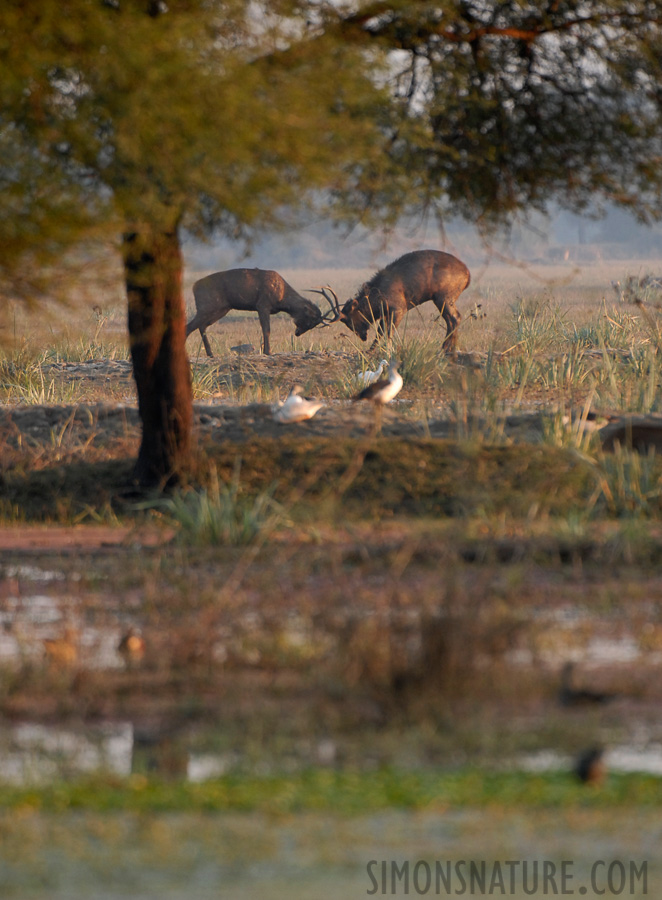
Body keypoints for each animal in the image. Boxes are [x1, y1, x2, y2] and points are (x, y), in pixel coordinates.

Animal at [324, 253, 470, 356]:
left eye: (349, 320)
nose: (362, 336)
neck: (376, 296)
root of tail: (468, 276)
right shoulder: (386, 313)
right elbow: (380, 331)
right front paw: (371, 350)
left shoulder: (399, 309)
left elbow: (389, 331)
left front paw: (388, 350)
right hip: (442, 299)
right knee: (452, 320)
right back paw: (450, 349)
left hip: (443, 297)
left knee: (455, 318)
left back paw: (445, 348)